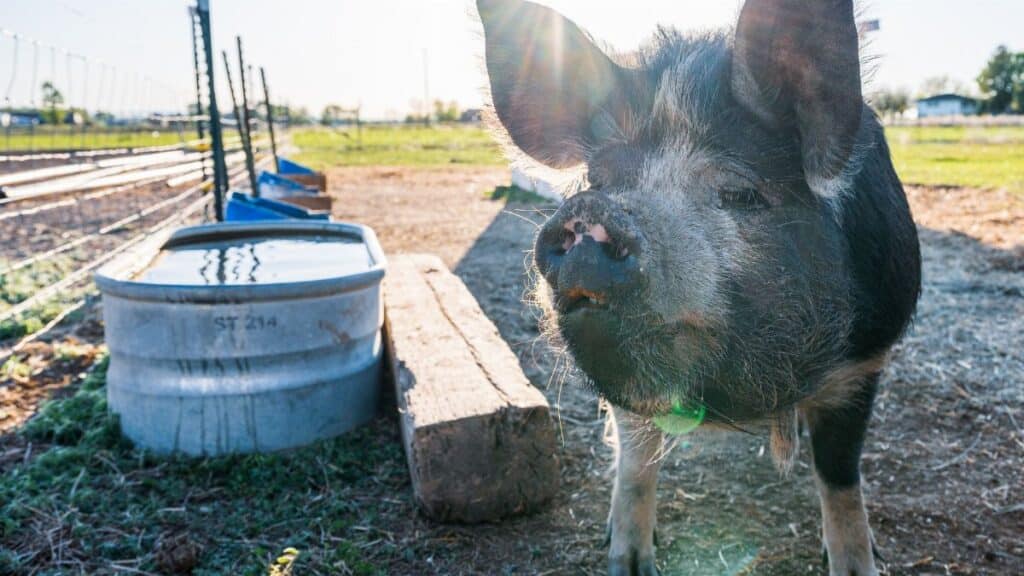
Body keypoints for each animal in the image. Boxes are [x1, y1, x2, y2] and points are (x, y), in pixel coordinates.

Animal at [477, 0, 921, 574]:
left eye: (741, 191)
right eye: (599, 180)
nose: (592, 212)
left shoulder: (863, 363)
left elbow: (841, 478)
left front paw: (861, 562)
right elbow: (636, 464)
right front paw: (628, 562)